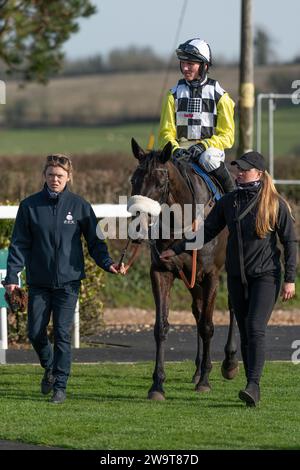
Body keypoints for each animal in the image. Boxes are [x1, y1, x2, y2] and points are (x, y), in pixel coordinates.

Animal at [128, 138, 239, 398]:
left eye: (160, 183)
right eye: (133, 180)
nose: (138, 226)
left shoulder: (211, 275)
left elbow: (208, 326)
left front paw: (206, 381)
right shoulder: (161, 271)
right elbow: (161, 326)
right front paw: (157, 385)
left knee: (231, 306)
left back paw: (228, 363)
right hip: (193, 278)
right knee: (197, 311)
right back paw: (198, 369)